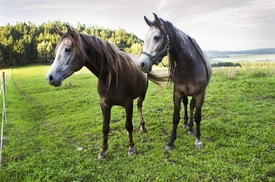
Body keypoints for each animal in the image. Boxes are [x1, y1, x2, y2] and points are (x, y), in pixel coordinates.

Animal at [46, 25, 169, 158]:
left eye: (67, 49)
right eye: (56, 50)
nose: (50, 77)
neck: (113, 75)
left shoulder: (128, 103)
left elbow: (128, 126)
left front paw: (131, 148)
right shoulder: (104, 104)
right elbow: (105, 127)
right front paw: (103, 151)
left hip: (142, 94)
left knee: (139, 106)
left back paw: (143, 127)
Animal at [138, 13, 213, 151]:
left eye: (156, 37)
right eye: (145, 38)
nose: (142, 64)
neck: (189, 66)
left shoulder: (200, 94)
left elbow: (198, 117)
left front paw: (198, 140)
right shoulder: (177, 93)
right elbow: (175, 117)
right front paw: (171, 142)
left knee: (192, 106)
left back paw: (190, 128)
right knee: (186, 104)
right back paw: (186, 124)